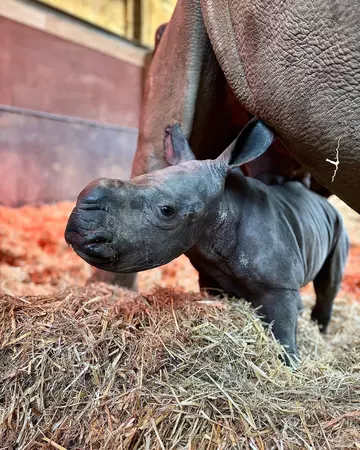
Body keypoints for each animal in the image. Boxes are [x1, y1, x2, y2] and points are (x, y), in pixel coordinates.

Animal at [65, 119, 348, 366]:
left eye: (166, 210)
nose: (77, 229)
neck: (225, 208)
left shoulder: (279, 286)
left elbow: (283, 331)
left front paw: (289, 365)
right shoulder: (211, 273)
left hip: (339, 226)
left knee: (329, 283)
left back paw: (320, 330)